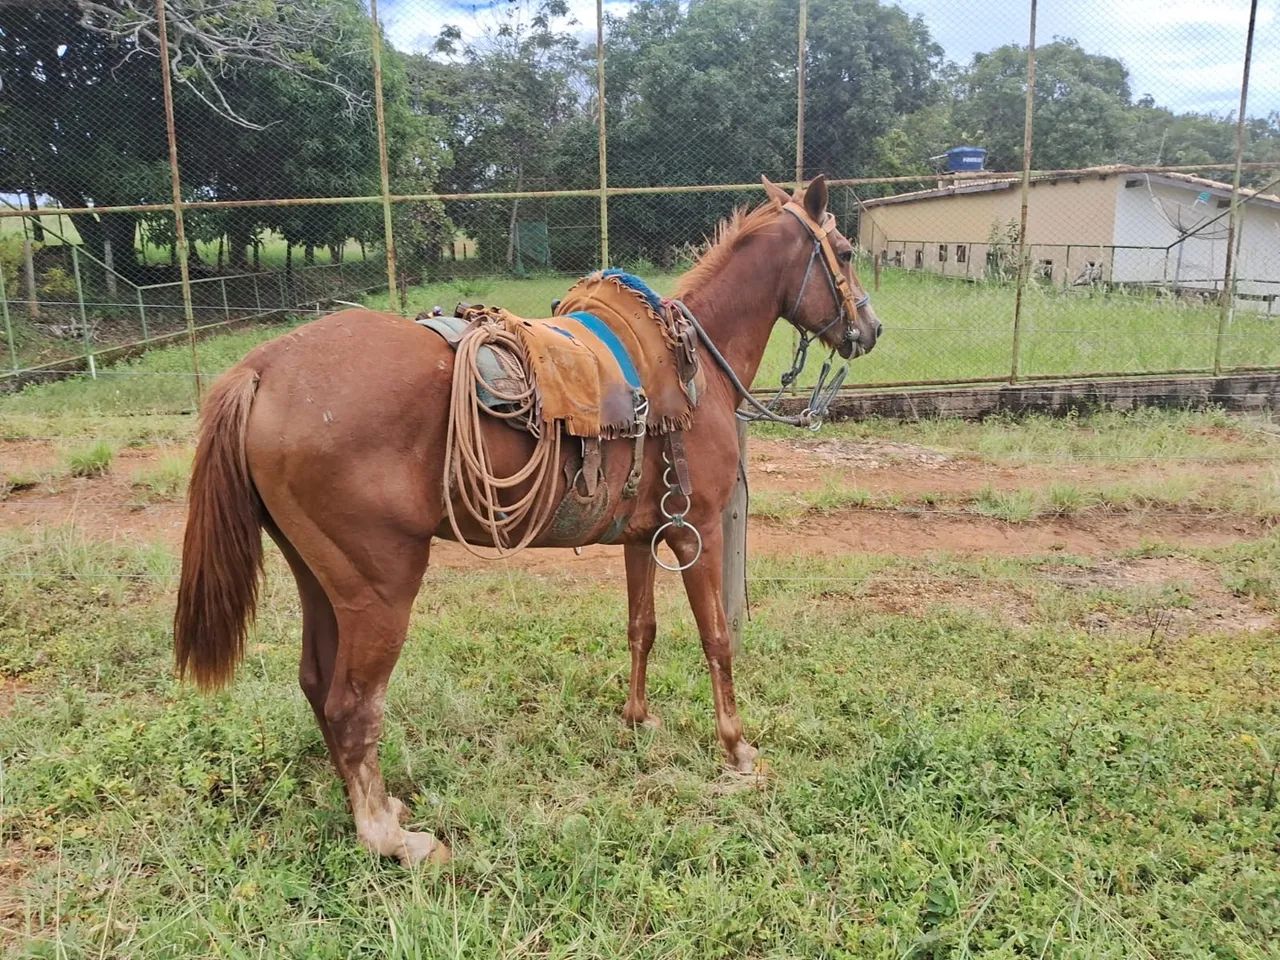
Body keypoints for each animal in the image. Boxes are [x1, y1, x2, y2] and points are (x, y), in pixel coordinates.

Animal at [173, 175, 882, 866]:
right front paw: (736, 748)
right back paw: (388, 835)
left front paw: (638, 719)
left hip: (322, 579)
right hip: (380, 590)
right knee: (353, 702)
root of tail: (261, 370)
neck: (692, 365)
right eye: (846, 252)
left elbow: (642, 628)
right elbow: (717, 640)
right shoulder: (697, 532)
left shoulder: (641, 535)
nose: (870, 329)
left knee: (318, 684)